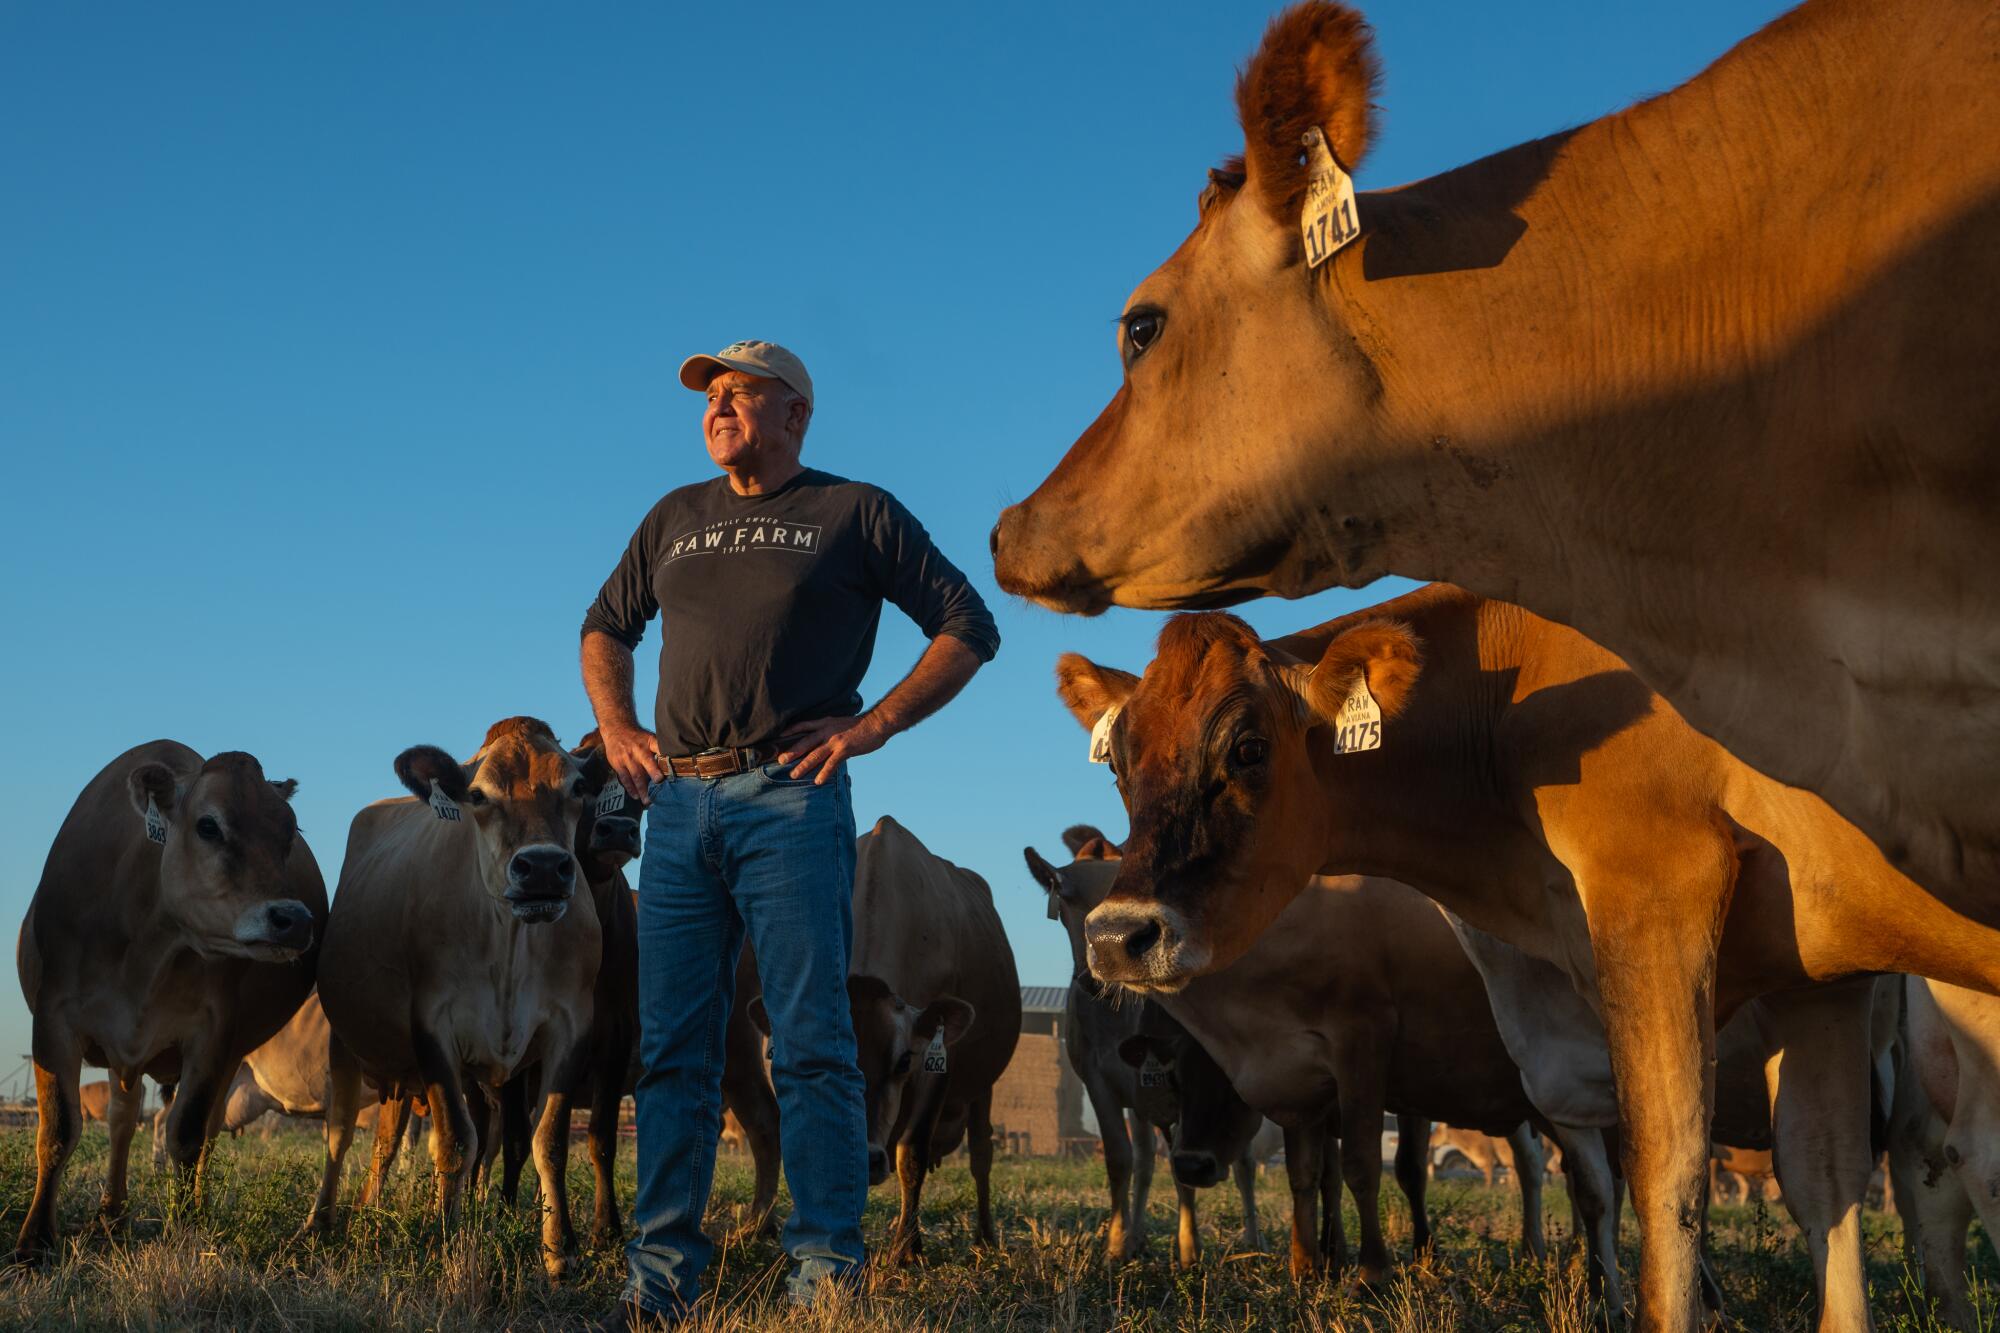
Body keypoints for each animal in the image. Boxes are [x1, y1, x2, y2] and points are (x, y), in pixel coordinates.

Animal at [15, 740, 324, 1264]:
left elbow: (187, 1134)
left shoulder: (213, 1034)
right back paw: (111, 1213)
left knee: (204, 1134)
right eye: (208, 825)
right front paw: (34, 1242)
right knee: (122, 1121)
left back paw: (183, 1208)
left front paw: (186, 1228)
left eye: (290, 831)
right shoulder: (54, 1022)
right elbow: (57, 1131)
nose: (295, 919)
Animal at [298, 712, 608, 1272]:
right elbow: (455, 1143)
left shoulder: (571, 1025)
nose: (543, 867)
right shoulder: (432, 1026)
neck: (510, 940)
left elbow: (548, 1141)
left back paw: (371, 1212)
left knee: (387, 1143)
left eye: (577, 788)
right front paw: (444, 1238)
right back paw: (321, 1221)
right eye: (479, 795)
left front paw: (561, 1252)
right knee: (340, 1131)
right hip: (345, 1042)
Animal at [1056, 588, 2000, 1320]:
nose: (1117, 936)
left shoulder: (1657, 905)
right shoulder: (1809, 982)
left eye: (1248, 748)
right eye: (1120, 763)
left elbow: (1662, 1181)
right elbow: (1816, 1182)